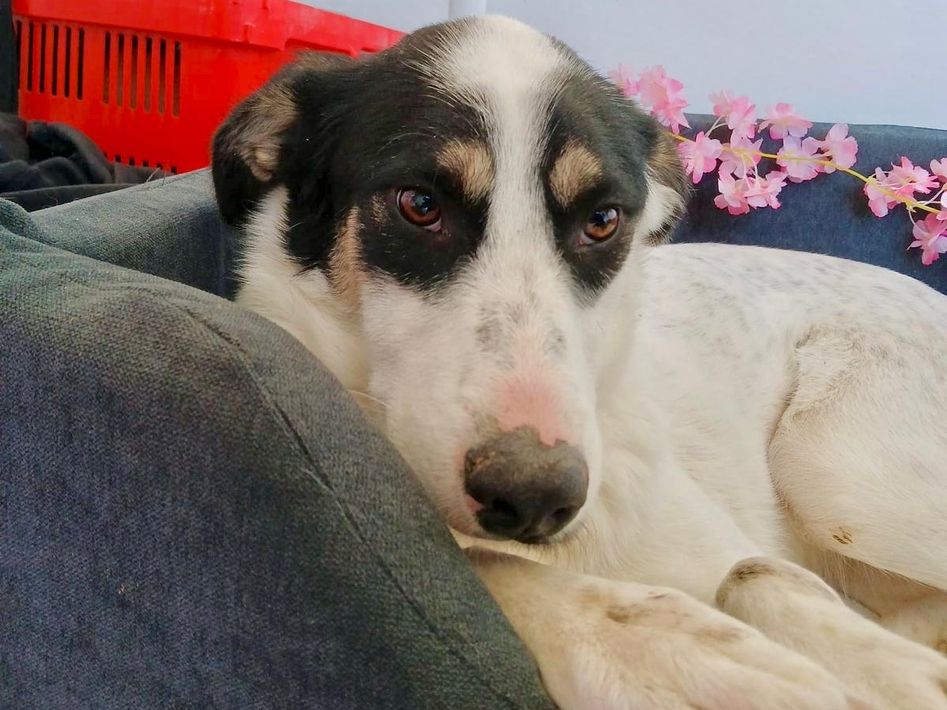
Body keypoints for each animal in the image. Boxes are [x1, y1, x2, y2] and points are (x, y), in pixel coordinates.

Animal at [212, 15, 947, 708]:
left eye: (602, 220)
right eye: (419, 205)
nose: (535, 497)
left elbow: (748, 574)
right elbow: (480, 562)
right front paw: (662, 650)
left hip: (832, 465)